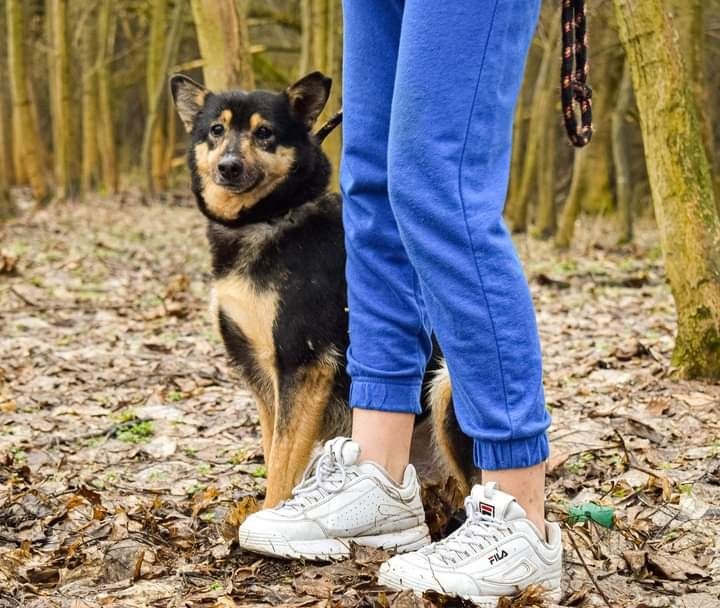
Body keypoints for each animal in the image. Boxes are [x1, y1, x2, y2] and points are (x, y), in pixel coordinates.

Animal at [168, 72, 472, 508]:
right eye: (216, 130)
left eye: (264, 133)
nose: (228, 167)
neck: (270, 217)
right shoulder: (263, 374)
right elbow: (274, 451)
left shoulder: (303, 364)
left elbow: (281, 466)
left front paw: (269, 515)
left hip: (445, 385)